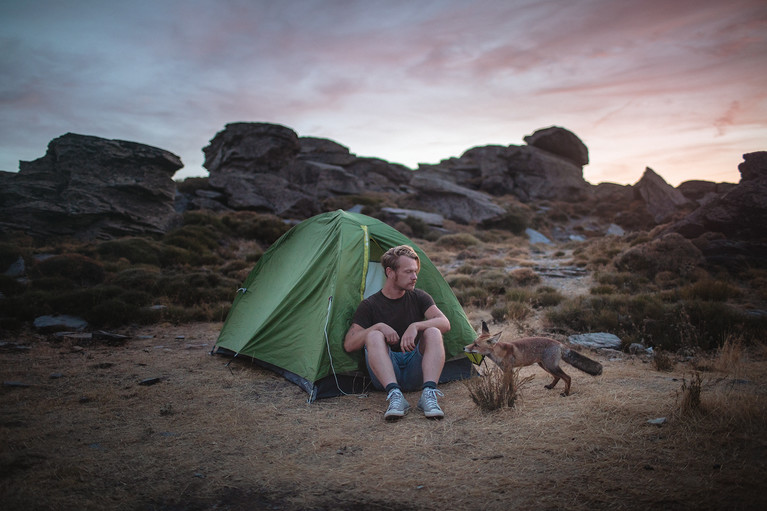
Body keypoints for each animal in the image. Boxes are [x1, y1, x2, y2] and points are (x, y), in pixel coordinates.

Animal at [464, 322, 604, 398]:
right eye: (473, 342)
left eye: (476, 345)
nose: (464, 347)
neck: (500, 353)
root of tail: (559, 343)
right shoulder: (509, 371)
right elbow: (511, 386)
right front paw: (511, 395)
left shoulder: (508, 370)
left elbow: (504, 387)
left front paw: (503, 397)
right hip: (544, 365)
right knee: (558, 377)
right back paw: (551, 386)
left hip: (550, 366)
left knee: (567, 377)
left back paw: (566, 393)